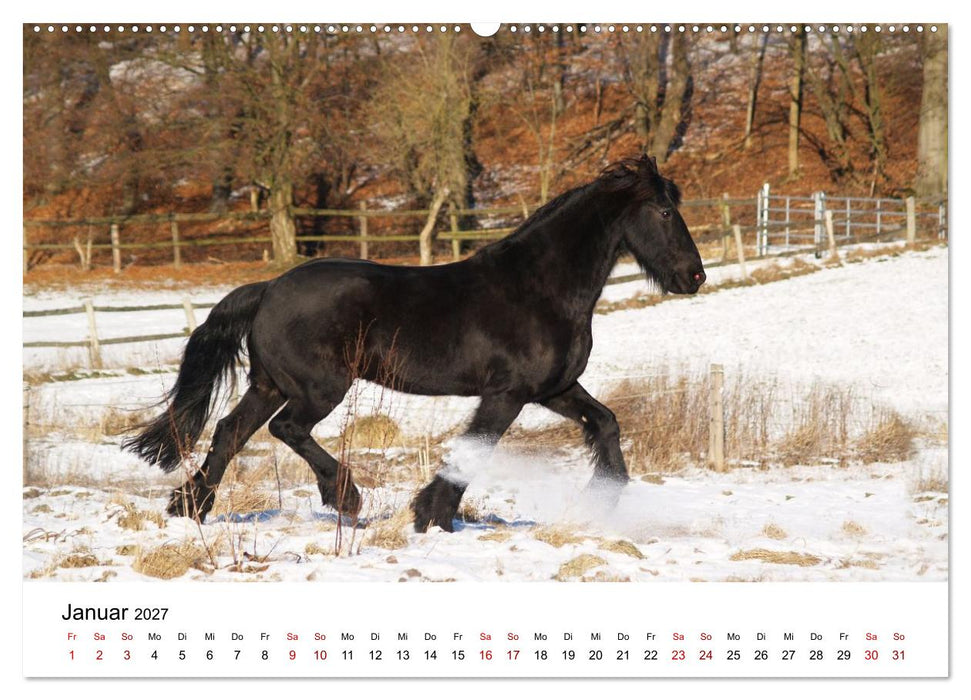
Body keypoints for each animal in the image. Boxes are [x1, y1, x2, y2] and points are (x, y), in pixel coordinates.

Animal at [124, 154, 706, 532]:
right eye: (664, 211)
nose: (694, 276)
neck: (540, 287)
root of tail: (267, 288)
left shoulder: (555, 389)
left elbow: (606, 423)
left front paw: (602, 500)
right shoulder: (509, 394)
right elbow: (475, 448)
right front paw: (431, 514)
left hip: (270, 385)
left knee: (230, 432)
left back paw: (190, 509)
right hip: (317, 388)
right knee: (285, 429)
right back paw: (345, 497)